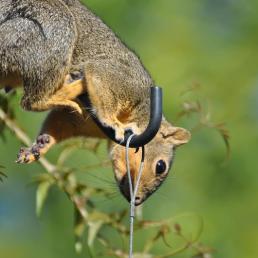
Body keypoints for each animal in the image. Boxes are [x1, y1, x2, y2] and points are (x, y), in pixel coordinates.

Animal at [0, 0, 189, 206]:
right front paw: (112, 121)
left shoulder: (80, 122)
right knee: (31, 101)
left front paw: (41, 145)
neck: (142, 112)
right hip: (50, 30)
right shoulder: (118, 78)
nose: (137, 201)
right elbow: (100, 82)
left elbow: (59, 124)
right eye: (160, 166)